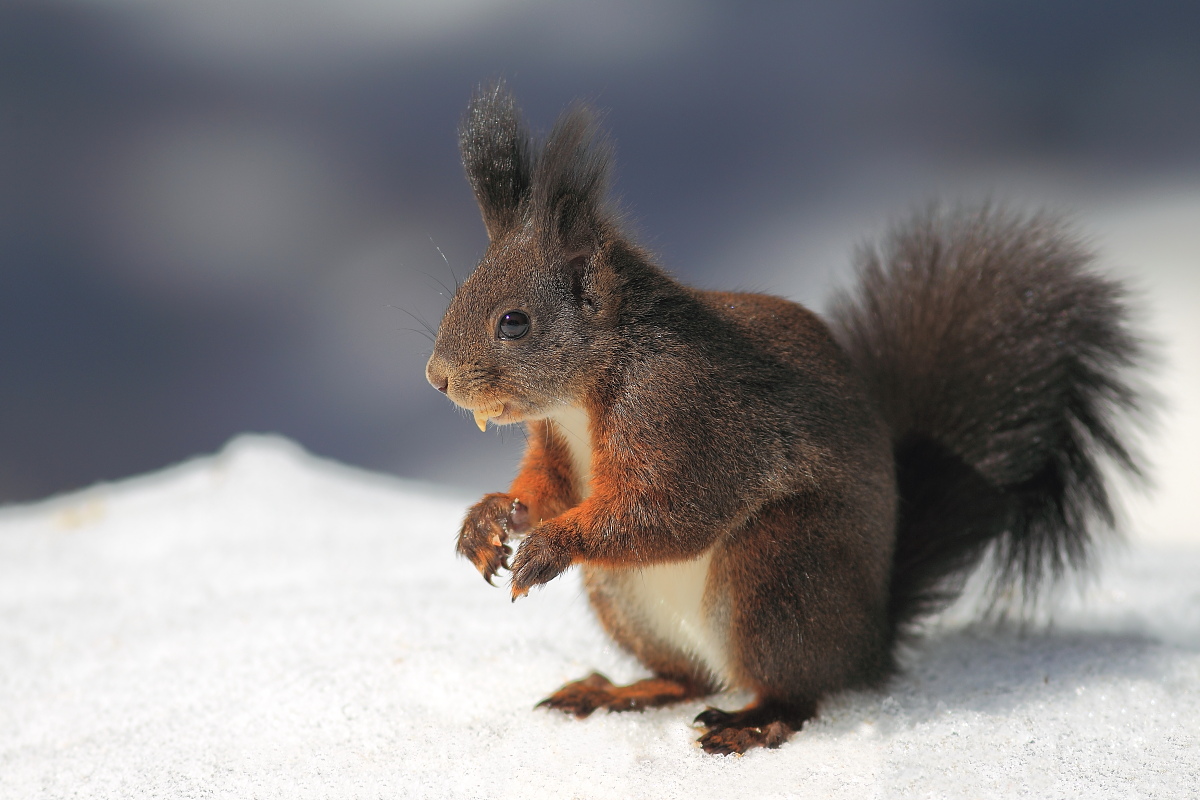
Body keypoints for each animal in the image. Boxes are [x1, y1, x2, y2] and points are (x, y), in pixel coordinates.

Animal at [424, 82, 1148, 755]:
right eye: (460, 296)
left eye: (514, 322)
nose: (437, 378)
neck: (585, 394)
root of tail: (869, 642)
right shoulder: (557, 445)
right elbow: (547, 489)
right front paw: (488, 520)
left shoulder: (681, 414)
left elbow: (668, 513)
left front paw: (551, 545)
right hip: (625, 599)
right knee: (690, 678)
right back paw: (617, 691)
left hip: (776, 574)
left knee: (795, 692)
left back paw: (750, 723)